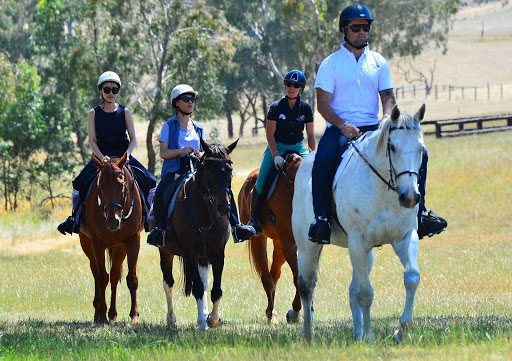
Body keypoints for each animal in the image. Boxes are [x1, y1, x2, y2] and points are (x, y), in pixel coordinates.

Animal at [80, 153, 144, 324]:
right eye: (100, 186)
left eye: (122, 185)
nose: (112, 221)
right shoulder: (97, 243)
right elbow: (102, 277)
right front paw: (101, 315)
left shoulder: (132, 240)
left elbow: (131, 278)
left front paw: (134, 315)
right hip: (87, 244)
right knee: (96, 272)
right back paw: (98, 311)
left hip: (119, 247)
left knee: (114, 275)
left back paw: (113, 313)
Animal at [158, 139, 236, 330]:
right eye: (210, 170)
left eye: (229, 169)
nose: (224, 208)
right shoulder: (190, 252)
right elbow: (198, 287)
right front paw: (202, 322)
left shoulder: (217, 252)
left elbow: (215, 289)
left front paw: (213, 318)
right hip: (166, 251)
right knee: (168, 283)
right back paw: (171, 319)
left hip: (203, 256)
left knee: (205, 282)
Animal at [239, 152, 306, 324]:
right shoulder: (288, 240)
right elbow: (298, 277)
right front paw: (296, 311)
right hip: (259, 239)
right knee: (266, 276)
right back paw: (271, 315)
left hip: (278, 243)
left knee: (274, 274)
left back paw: (272, 311)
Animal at [294, 103, 426, 340]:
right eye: (392, 147)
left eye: (421, 148)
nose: (410, 197)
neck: (385, 189)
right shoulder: (358, 242)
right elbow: (365, 293)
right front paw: (369, 338)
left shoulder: (404, 237)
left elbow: (411, 278)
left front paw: (401, 331)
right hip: (309, 247)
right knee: (307, 286)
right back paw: (309, 335)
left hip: (365, 252)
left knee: (352, 288)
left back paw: (358, 333)